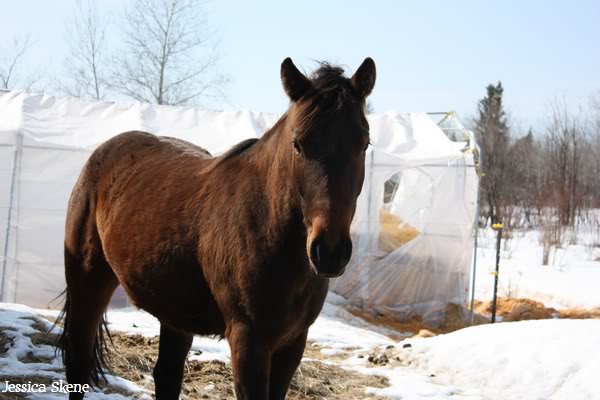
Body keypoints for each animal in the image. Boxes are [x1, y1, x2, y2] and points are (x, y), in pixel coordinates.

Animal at [57, 57, 376, 400]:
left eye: (364, 144)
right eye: (298, 144)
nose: (329, 251)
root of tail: (104, 152)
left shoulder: (293, 342)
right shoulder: (248, 341)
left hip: (175, 313)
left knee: (166, 376)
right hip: (89, 283)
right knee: (78, 363)